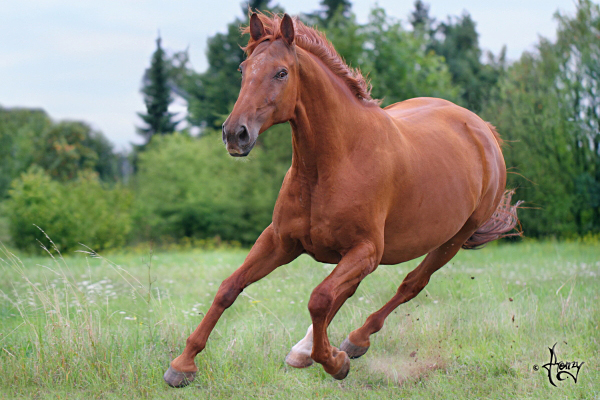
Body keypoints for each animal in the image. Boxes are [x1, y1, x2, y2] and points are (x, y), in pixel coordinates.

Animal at [164, 12, 520, 388]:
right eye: (243, 69)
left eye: (281, 72)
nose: (235, 134)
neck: (333, 164)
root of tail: (482, 130)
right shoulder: (280, 241)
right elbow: (230, 287)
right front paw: (182, 365)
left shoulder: (365, 249)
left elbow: (319, 299)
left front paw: (334, 362)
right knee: (347, 291)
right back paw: (306, 349)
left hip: (451, 241)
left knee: (410, 284)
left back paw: (353, 341)